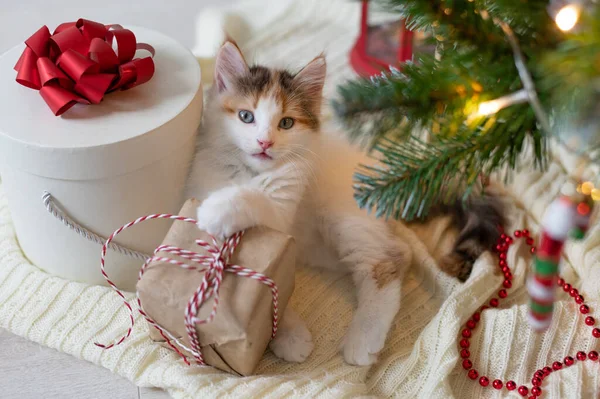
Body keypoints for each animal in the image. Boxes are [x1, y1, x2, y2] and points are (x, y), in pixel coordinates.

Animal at [188, 42, 412, 368]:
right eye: (246, 116)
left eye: (286, 123)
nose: (265, 142)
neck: (250, 172)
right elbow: (275, 288)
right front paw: (287, 334)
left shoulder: (282, 206)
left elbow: (255, 198)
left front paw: (218, 209)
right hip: (322, 248)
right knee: (401, 252)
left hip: (342, 219)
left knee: (384, 264)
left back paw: (363, 339)